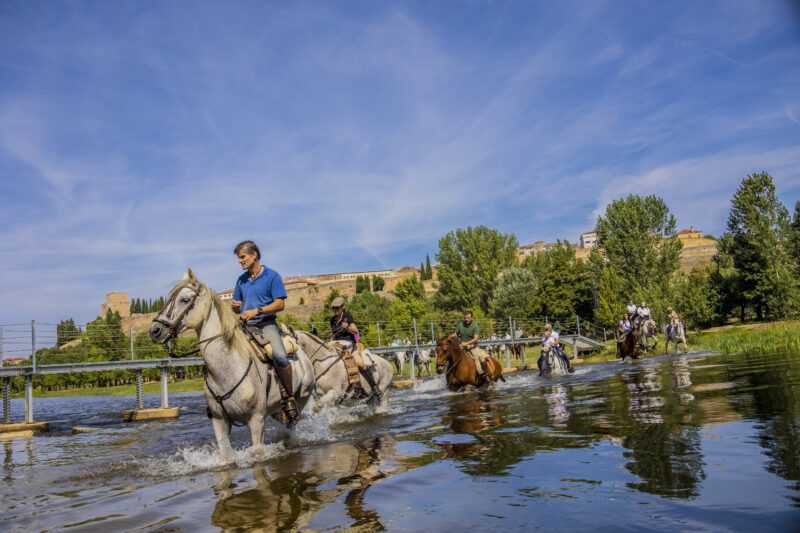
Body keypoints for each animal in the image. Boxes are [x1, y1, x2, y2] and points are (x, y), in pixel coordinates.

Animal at [148, 269, 316, 461]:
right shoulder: (219, 420)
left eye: (184, 299)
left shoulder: (256, 420)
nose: (154, 330)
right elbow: (226, 455)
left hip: (301, 398)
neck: (227, 369)